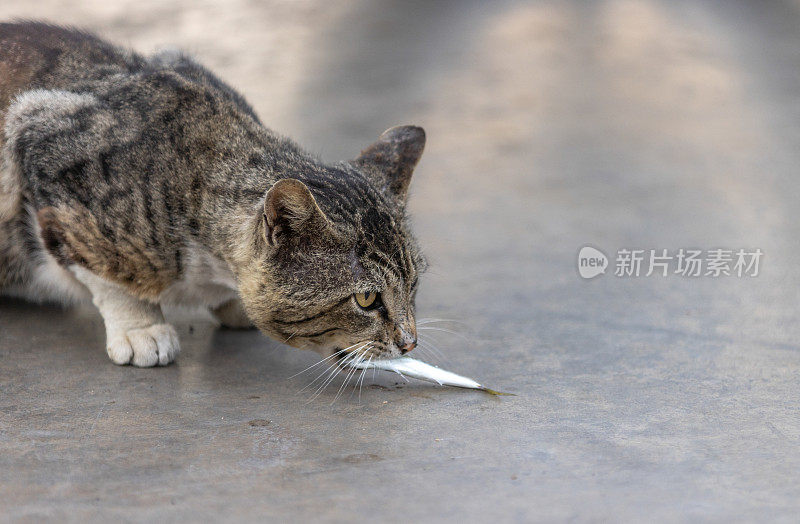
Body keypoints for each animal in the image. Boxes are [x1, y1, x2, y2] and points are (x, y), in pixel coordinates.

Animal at [0, 22, 424, 368]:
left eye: (413, 284)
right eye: (366, 300)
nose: (409, 343)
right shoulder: (38, 132)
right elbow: (105, 271)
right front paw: (141, 327)